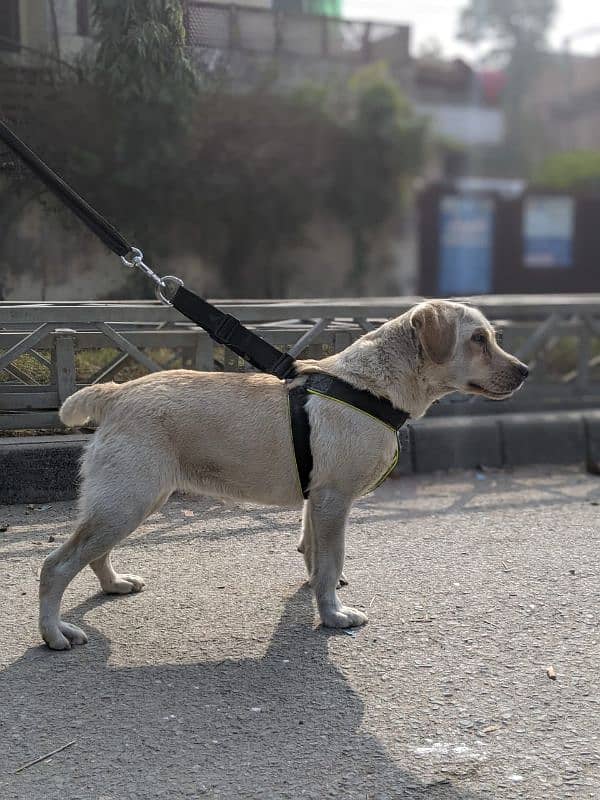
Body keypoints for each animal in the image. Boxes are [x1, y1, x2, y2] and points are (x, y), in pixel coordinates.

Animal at [37, 300, 528, 648]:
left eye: (492, 336)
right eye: (478, 338)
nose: (525, 371)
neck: (372, 386)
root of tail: (116, 393)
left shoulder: (317, 501)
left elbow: (313, 553)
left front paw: (317, 594)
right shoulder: (334, 500)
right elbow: (331, 560)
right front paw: (333, 616)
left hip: (129, 503)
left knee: (93, 553)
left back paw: (113, 584)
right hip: (128, 502)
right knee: (55, 565)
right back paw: (55, 633)